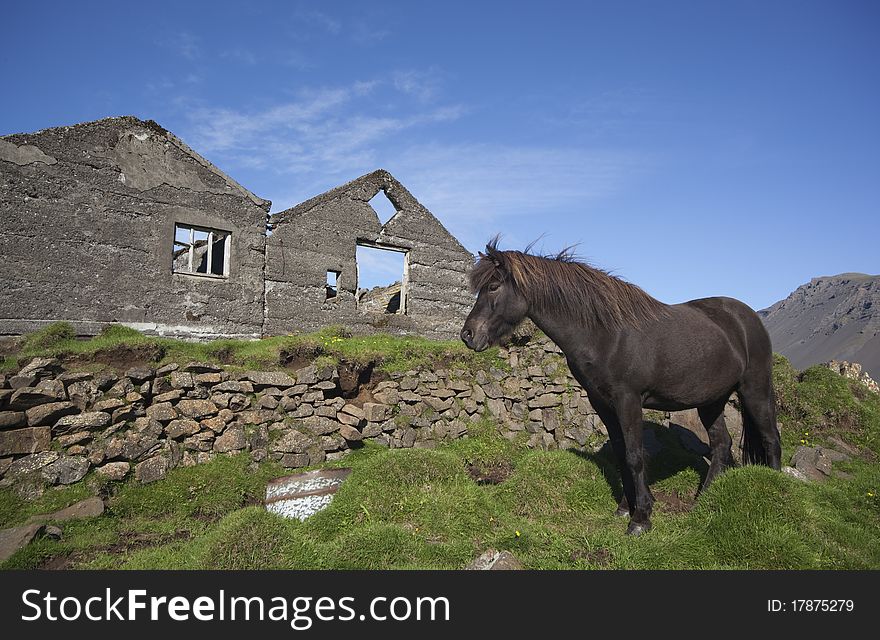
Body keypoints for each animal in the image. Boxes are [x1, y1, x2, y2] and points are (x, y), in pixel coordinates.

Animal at [458, 240, 780, 536]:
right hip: (711, 401)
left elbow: (635, 456)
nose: (468, 335)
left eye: (493, 286)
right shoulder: (602, 402)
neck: (605, 333)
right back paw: (703, 501)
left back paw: (778, 492)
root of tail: (746, 317)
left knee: (770, 439)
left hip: (755, 388)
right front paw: (626, 507)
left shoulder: (629, 400)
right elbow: (620, 453)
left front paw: (641, 519)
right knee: (721, 444)